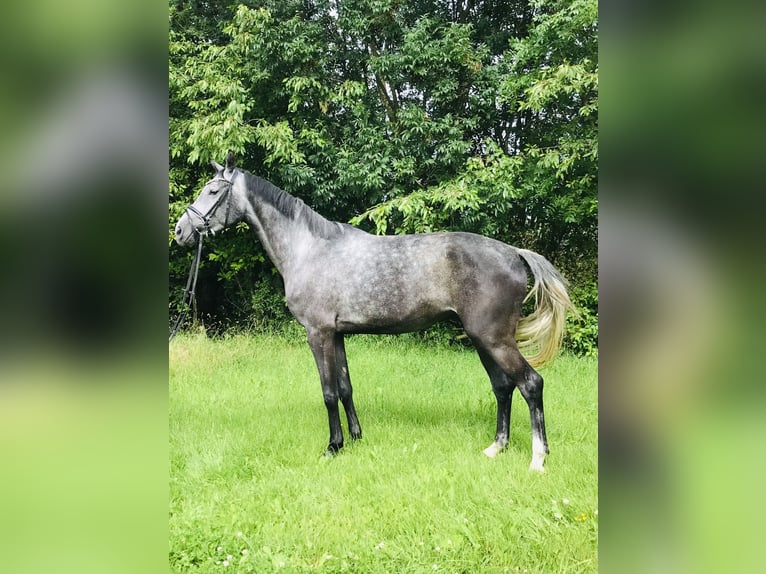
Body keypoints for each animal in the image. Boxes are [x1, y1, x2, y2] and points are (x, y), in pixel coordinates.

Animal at [177, 154, 576, 472]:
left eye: (213, 192)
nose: (181, 231)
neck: (309, 249)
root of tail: (513, 252)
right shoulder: (337, 335)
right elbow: (345, 387)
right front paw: (355, 438)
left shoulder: (318, 333)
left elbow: (327, 391)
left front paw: (332, 447)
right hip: (483, 340)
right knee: (503, 387)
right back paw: (496, 448)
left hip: (494, 339)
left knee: (530, 384)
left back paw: (538, 459)